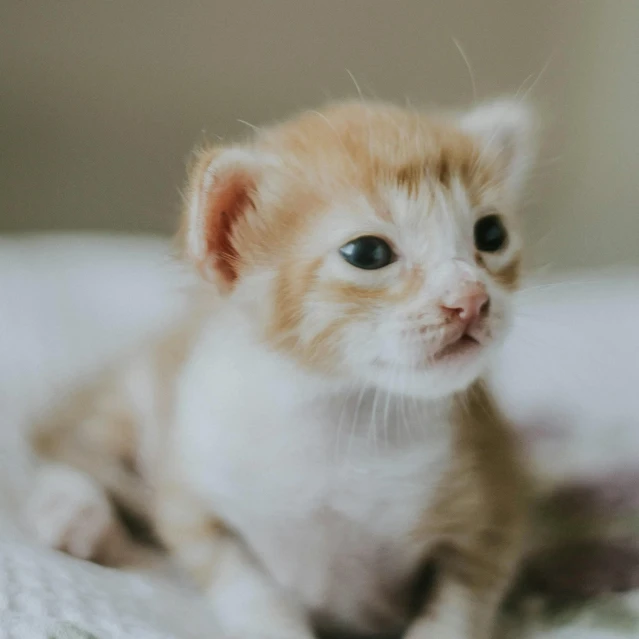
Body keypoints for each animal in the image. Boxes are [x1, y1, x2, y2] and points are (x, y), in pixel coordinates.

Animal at [25, 101, 536, 639]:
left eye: (491, 234)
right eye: (368, 253)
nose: (471, 300)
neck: (342, 412)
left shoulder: (496, 506)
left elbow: (457, 609)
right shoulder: (190, 491)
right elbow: (244, 584)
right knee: (73, 445)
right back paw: (70, 513)